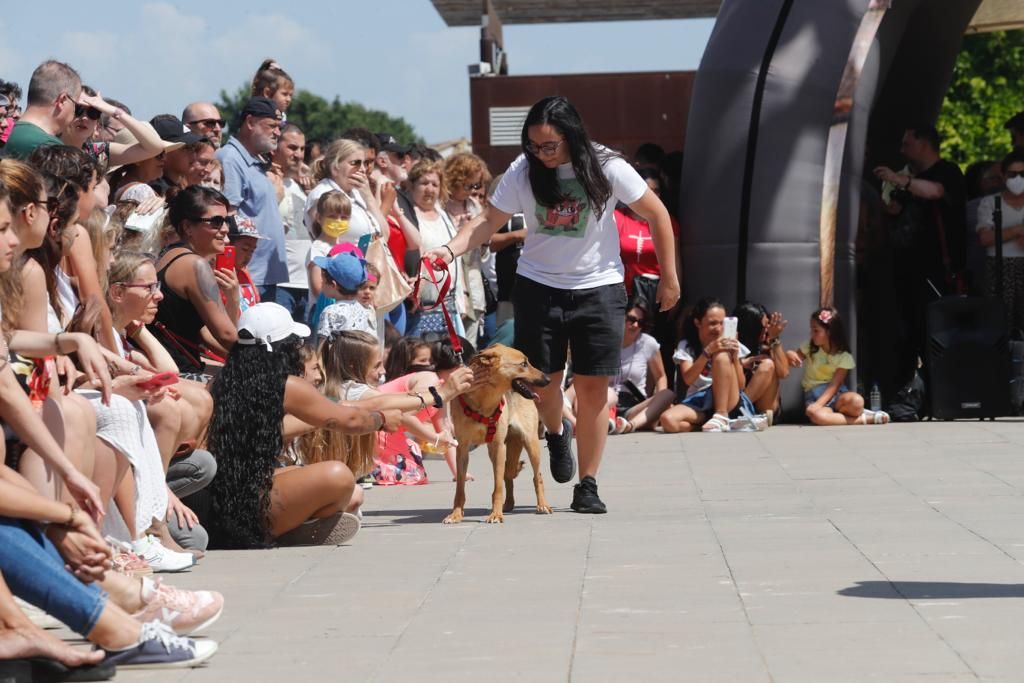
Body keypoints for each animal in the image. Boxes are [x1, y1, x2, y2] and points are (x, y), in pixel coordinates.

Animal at [442, 344, 552, 528]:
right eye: (523, 364)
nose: (548, 379)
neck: (484, 401)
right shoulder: (462, 449)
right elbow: (460, 488)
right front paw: (456, 514)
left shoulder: (498, 446)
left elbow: (498, 486)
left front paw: (495, 514)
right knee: (508, 475)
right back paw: (508, 504)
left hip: (530, 442)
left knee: (537, 477)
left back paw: (542, 505)